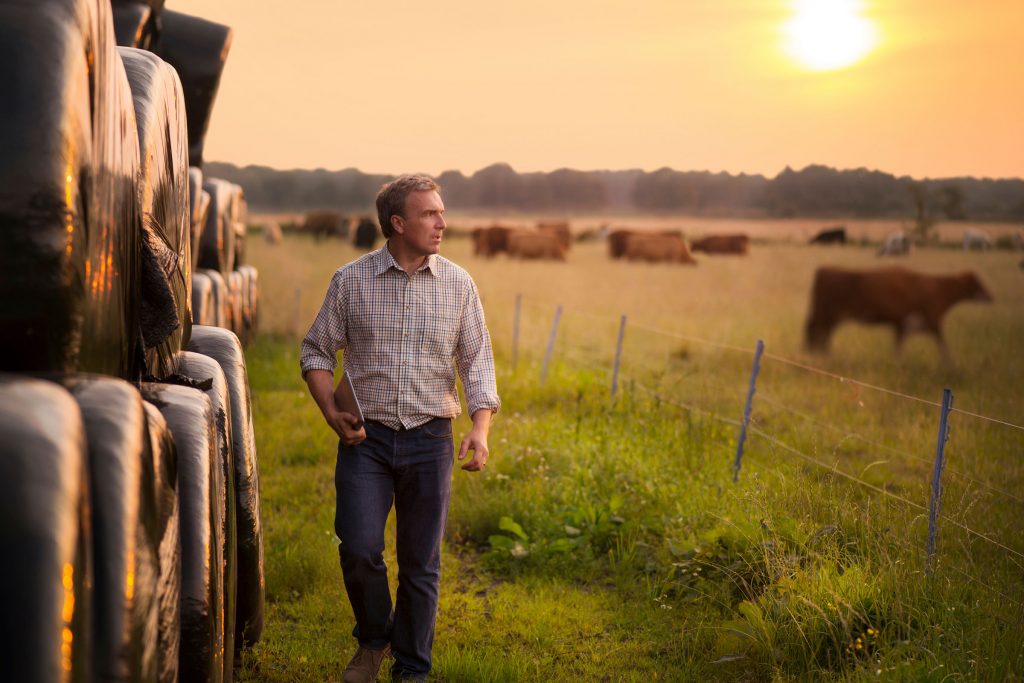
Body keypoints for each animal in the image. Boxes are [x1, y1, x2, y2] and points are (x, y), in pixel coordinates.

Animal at [802, 266, 987, 356]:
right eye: (977, 283)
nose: (989, 296)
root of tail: (824, 269)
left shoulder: (913, 325)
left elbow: (941, 346)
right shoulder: (919, 323)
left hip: (831, 317)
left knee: (821, 334)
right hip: (827, 315)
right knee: (815, 330)